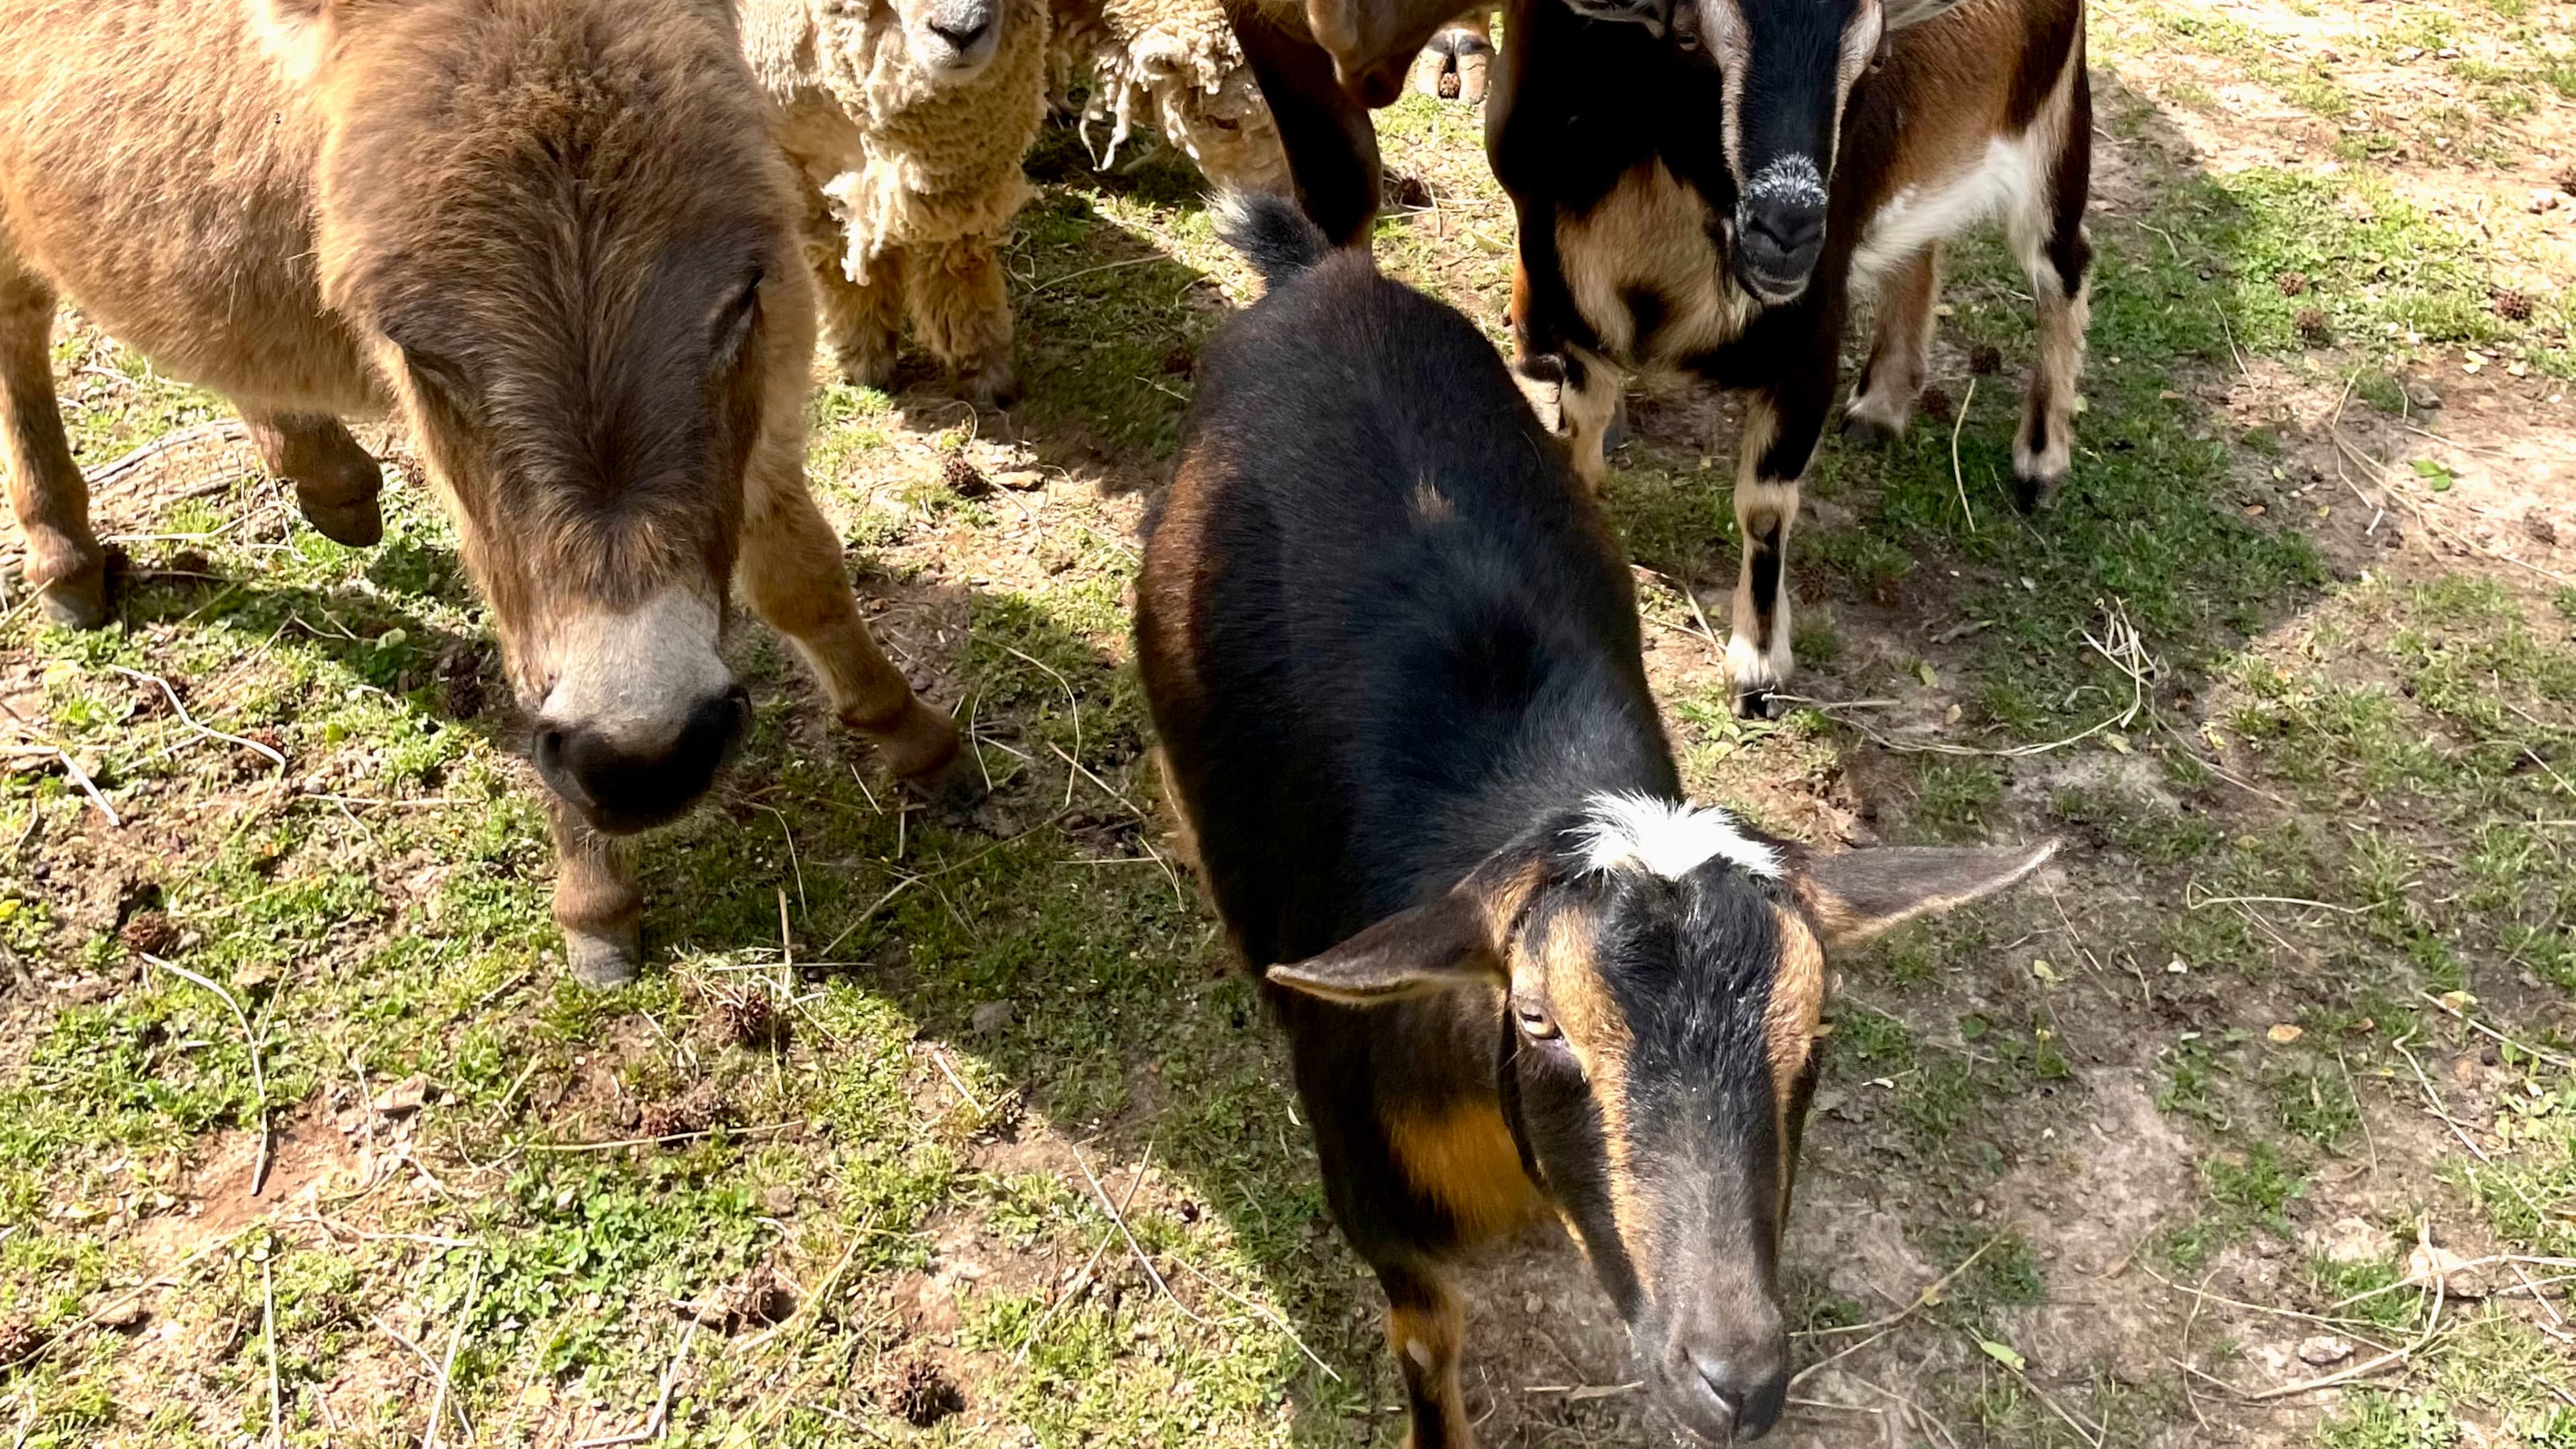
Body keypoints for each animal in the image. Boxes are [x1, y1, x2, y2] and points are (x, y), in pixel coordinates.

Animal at [742, 0, 1052, 407]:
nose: (961, 33)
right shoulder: (802, 160)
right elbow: (840, 262)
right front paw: (865, 356)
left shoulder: (964, 184)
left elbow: (959, 272)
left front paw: (983, 370)